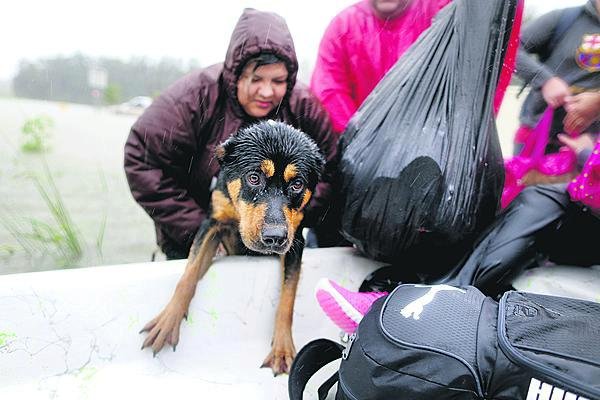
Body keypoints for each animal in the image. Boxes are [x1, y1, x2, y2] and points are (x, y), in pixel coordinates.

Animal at [139, 120, 324, 376]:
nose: (274, 238)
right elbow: (188, 275)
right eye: (254, 178)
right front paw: (168, 321)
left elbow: (288, 297)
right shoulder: (212, 225)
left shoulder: (295, 242)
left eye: (297, 184)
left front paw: (282, 349)